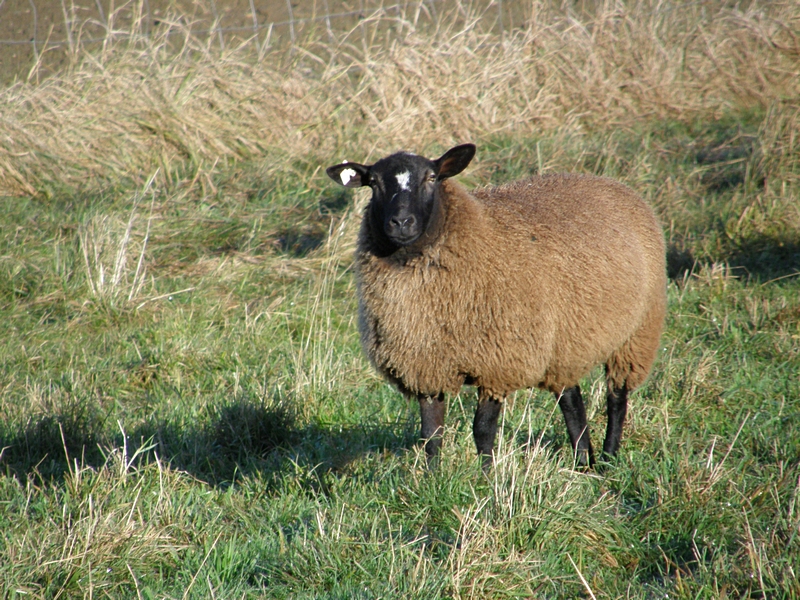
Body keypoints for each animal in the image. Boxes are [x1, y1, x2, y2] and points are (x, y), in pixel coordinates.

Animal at [326, 144, 668, 468]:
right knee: (570, 397)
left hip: (637, 332)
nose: (400, 222)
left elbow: (482, 430)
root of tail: (612, 183)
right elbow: (431, 434)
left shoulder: (497, 364)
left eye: (432, 178)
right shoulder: (427, 364)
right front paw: (432, 479)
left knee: (617, 395)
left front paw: (486, 478)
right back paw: (583, 460)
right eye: (373, 183)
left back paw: (609, 458)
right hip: (562, 341)